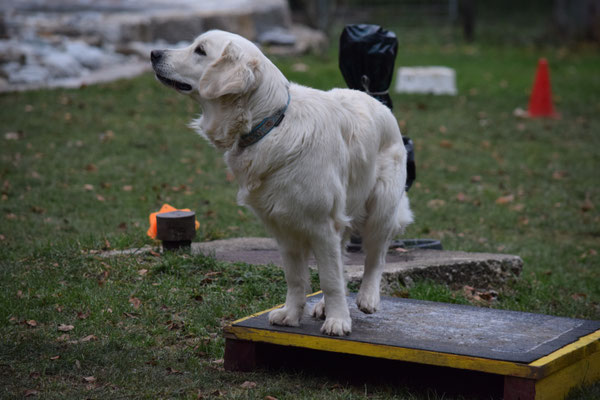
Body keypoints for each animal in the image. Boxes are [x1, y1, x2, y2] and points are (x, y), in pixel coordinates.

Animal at [151, 30, 412, 334]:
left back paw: (367, 297)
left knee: (375, 256)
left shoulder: (322, 225)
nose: (154, 53)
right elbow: (297, 277)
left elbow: (330, 279)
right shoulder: (283, 224)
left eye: (200, 50)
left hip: (380, 207)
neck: (270, 123)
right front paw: (291, 314)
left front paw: (338, 320)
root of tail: (377, 101)